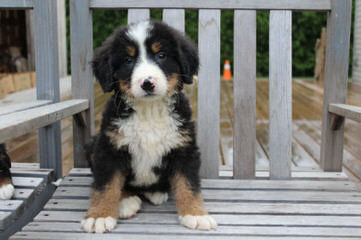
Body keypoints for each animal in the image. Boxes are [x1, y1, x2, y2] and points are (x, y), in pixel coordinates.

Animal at [81, 19, 217, 233]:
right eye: (128, 60)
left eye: (161, 55)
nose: (147, 83)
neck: (150, 110)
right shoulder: (109, 149)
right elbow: (106, 185)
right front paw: (99, 216)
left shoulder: (184, 148)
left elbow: (189, 184)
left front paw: (196, 214)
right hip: (92, 145)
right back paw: (127, 202)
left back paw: (156, 192)